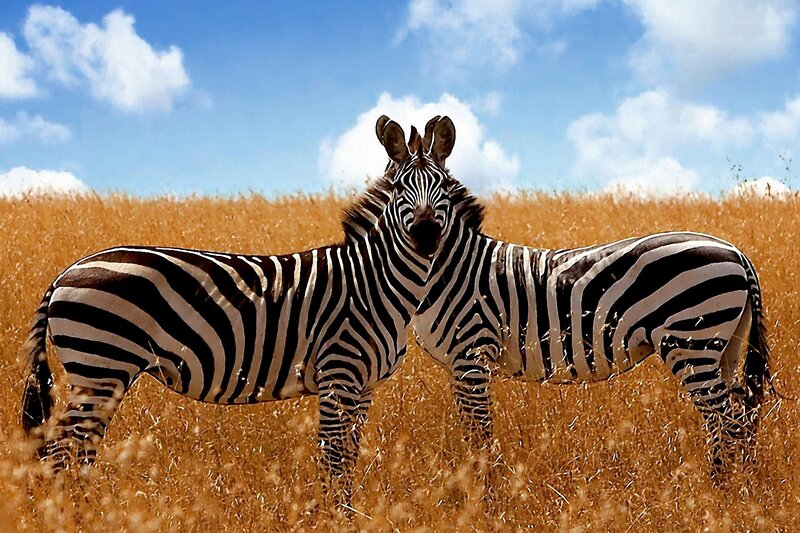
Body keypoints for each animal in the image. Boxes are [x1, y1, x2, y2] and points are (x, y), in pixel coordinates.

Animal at [20, 114, 460, 507]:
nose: (425, 235)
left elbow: (349, 455)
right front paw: (337, 514)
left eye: (444, 187)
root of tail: (65, 273)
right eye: (401, 189)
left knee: (74, 451)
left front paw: (345, 510)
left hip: (97, 373)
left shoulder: (364, 385)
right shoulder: (339, 373)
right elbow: (334, 457)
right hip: (101, 365)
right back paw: (74, 514)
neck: (374, 280)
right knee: (62, 452)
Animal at [343, 137, 772, 478]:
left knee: (726, 422)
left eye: (444, 188)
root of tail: (735, 251)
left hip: (691, 340)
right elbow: (472, 431)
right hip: (725, 344)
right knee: (739, 417)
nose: (427, 235)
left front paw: (484, 495)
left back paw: (717, 491)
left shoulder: (471, 354)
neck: (451, 269)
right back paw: (736, 489)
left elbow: (479, 434)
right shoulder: (460, 363)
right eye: (399, 190)